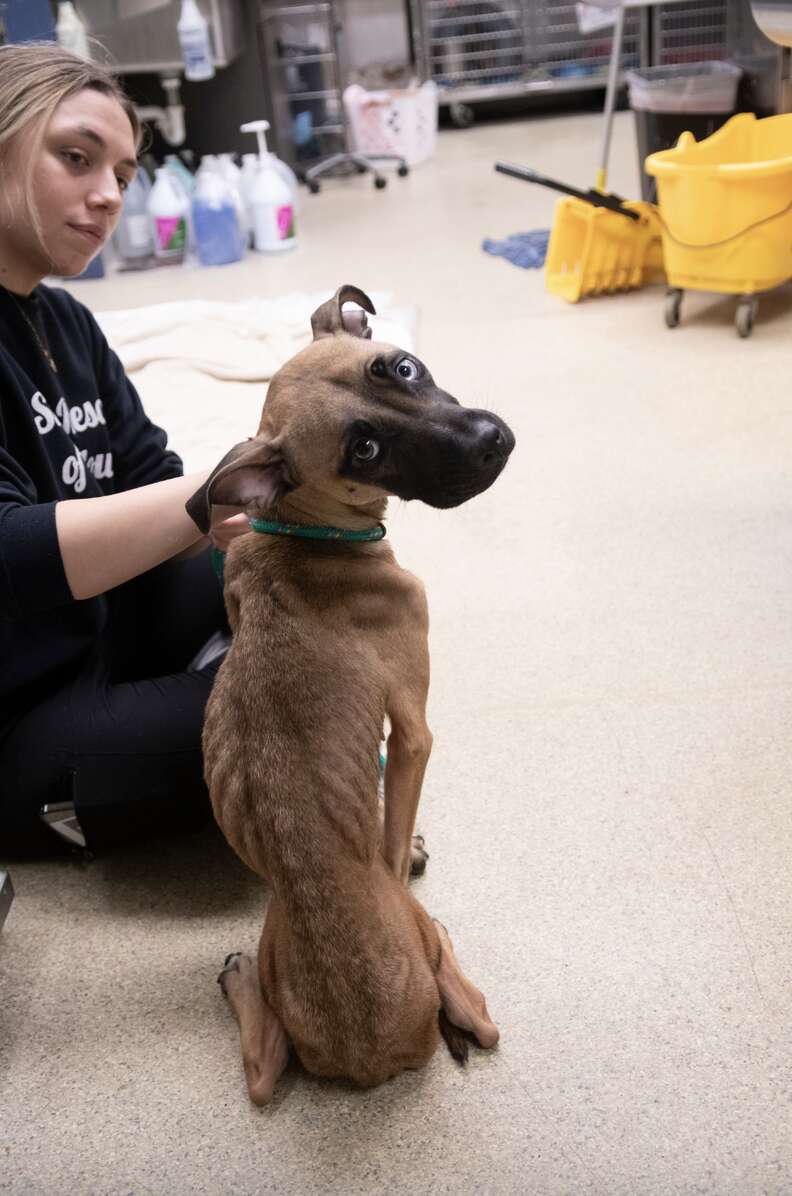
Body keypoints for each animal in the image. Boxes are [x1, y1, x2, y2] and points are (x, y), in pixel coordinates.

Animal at [189, 287, 519, 1100]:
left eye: (401, 366)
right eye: (362, 450)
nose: (493, 440)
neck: (302, 535)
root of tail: (366, 1056)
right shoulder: (415, 732)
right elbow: (396, 831)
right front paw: (409, 846)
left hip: (272, 946)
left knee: (265, 1071)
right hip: (423, 951)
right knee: (476, 1015)